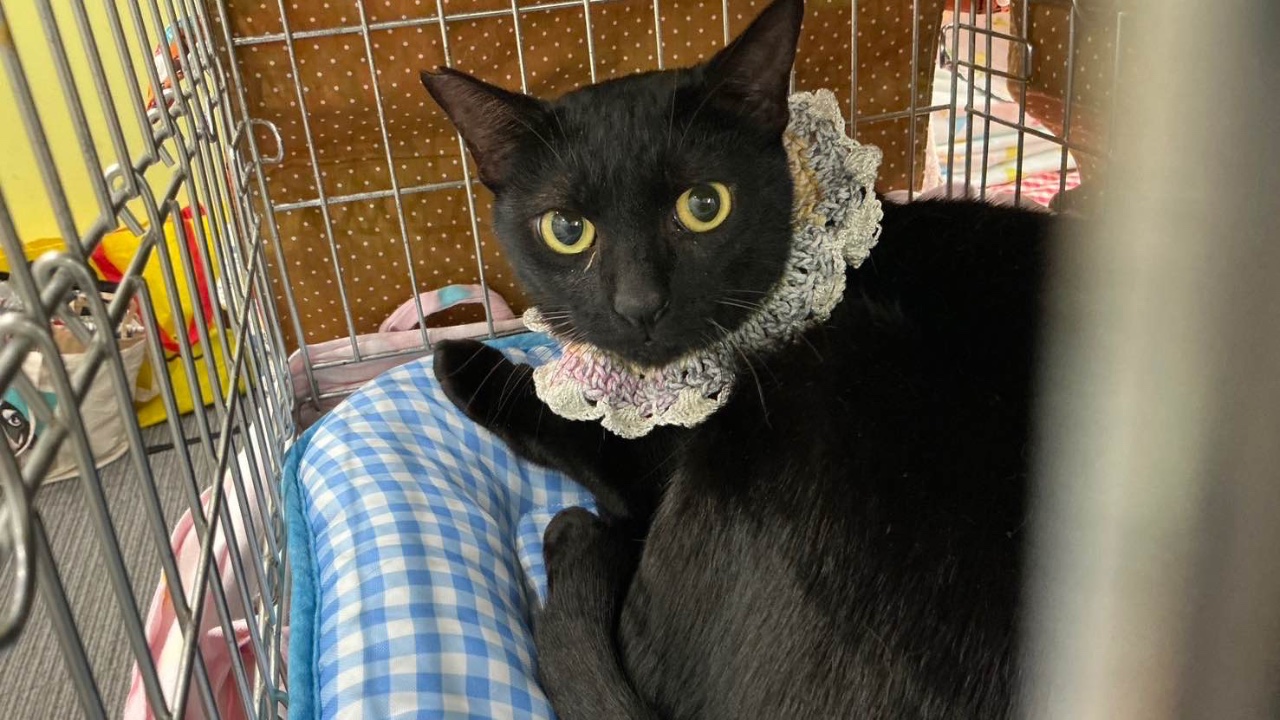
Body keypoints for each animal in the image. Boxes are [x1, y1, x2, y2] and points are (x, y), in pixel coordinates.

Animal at [420, 0, 1058, 716]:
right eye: (566, 229)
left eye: (705, 206)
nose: (640, 305)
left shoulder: (650, 461)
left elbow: (578, 428)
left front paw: (468, 364)